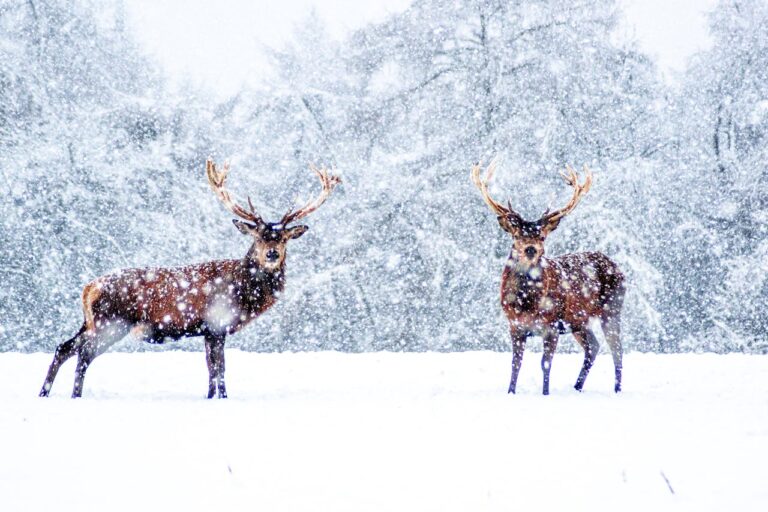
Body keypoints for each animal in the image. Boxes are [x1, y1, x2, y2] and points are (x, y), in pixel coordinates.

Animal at [39, 158, 340, 398]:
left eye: (283, 238)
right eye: (258, 237)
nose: (272, 253)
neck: (243, 293)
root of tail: (89, 287)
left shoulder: (208, 330)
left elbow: (211, 370)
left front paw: (210, 398)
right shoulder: (217, 322)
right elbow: (220, 369)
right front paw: (222, 398)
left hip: (90, 322)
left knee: (64, 347)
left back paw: (44, 393)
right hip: (111, 322)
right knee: (84, 354)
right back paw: (74, 396)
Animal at [471, 160, 625, 395]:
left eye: (542, 236)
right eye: (517, 235)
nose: (531, 249)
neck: (525, 302)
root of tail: (617, 267)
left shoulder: (551, 325)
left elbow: (545, 363)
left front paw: (545, 393)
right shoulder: (514, 325)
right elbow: (516, 363)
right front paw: (511, 392)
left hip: (612, 308)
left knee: (616, 349)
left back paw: (617, 389)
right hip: (579, 321)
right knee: (593, 347)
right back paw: (576, 387)